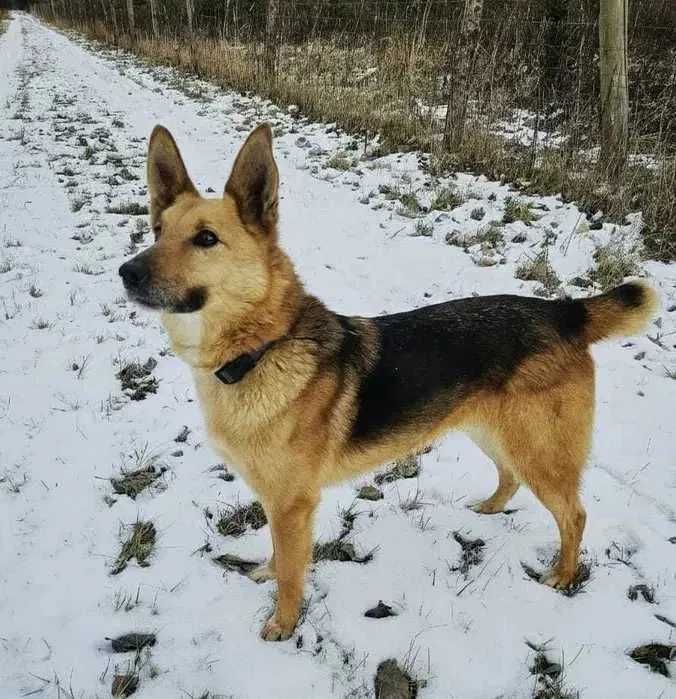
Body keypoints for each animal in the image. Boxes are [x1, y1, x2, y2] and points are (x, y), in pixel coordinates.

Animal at [119, 123, 658, 641]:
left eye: (206, 239)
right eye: (157, 230)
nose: (126, 273)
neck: (260, 349)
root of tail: (564, 311)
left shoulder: (293, 505)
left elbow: (293, 572)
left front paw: (283, 625)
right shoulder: (277, 502)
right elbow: (278, 554)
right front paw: (268, 573)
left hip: (540, 449)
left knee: (573, 514)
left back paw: (562, 576)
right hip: (493, 431)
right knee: (510, 476)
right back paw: (488, 508)